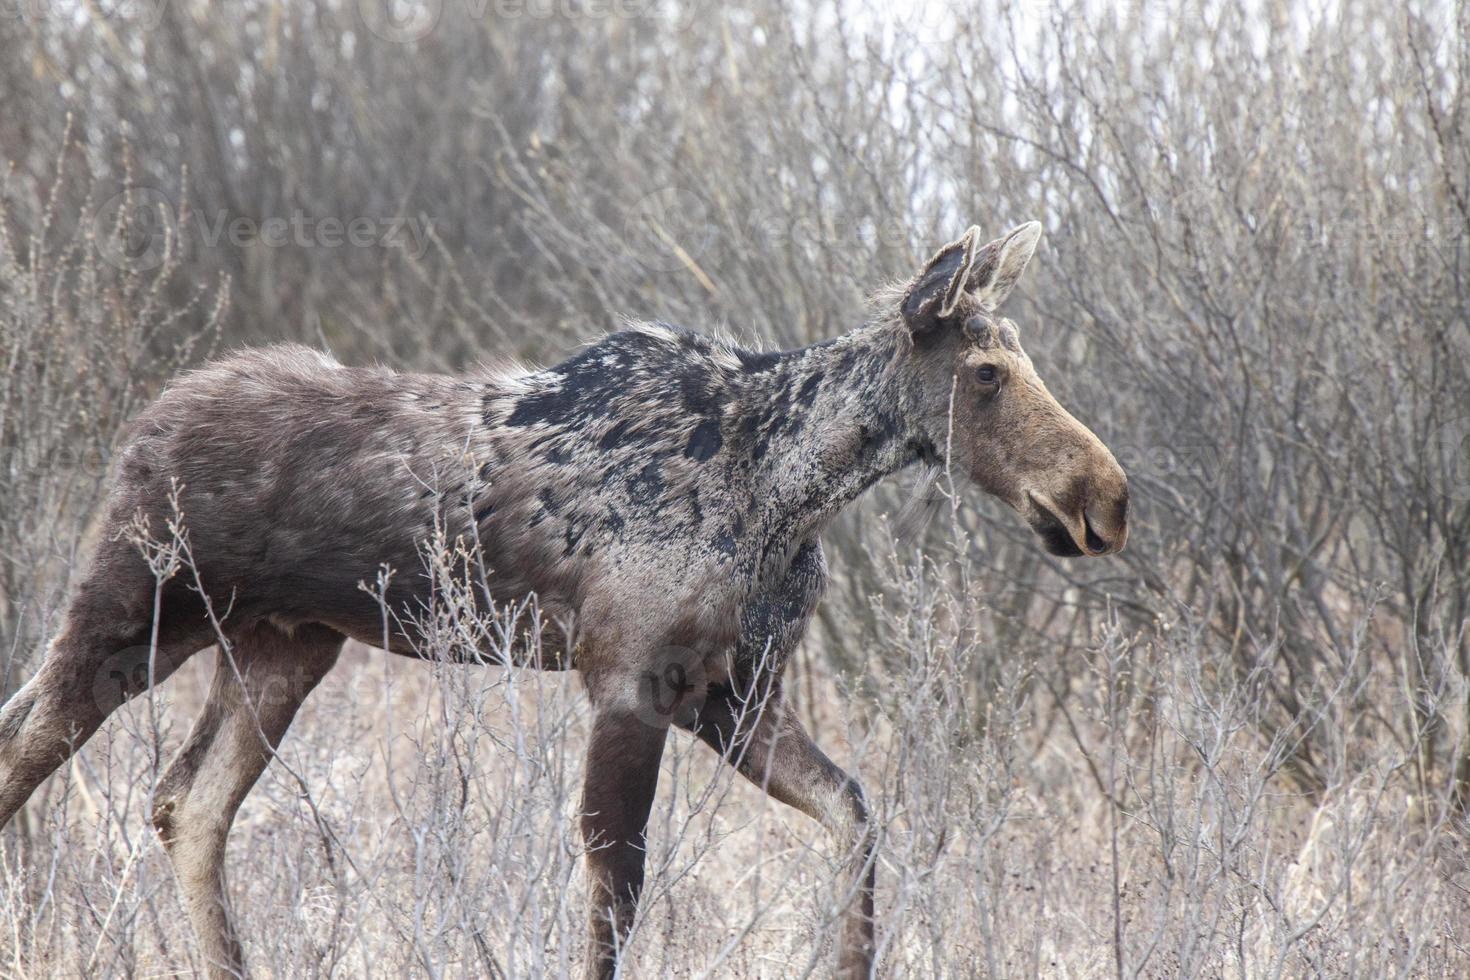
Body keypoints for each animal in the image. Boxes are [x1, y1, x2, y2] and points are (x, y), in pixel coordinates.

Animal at [0, 218, 1128, 975]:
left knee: (187, 804)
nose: (1103, 497)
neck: (790, 491)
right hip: (130, 609)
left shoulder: (734, 694)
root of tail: (141, 428)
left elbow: (853, 814)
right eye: (986, 372)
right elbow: (615, 883)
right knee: (33, 747)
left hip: (282, 646)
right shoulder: (629, 681)